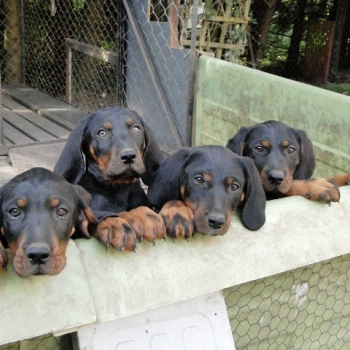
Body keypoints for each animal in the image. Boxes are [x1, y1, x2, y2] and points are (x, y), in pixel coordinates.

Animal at [54, 105, 166, 250]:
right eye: (102, 133)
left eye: (136, 129)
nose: (128, 156)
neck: (118, 189)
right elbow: (104, 214)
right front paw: (115, 224)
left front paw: (143, 214)